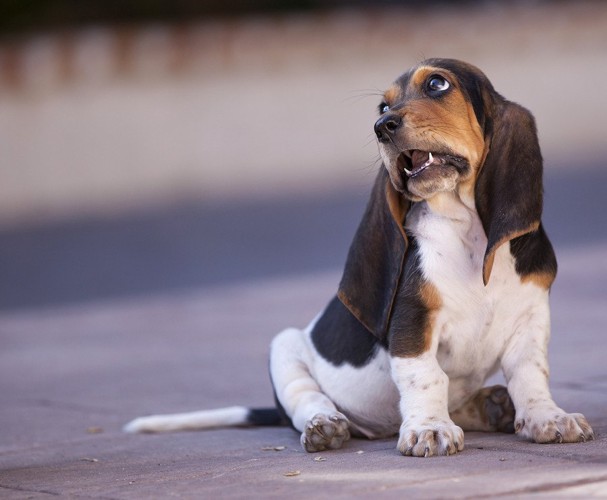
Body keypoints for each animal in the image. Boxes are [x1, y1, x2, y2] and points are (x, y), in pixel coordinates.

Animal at [123, 58, 592, 458]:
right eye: (383, 105)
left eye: (437, 84)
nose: (382, 126)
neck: (466, 231)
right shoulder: (413, 321)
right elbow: (426, 377)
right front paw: (429, 429)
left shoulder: (530, 319)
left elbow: (530, 375)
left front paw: (548, 418)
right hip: (285, 347)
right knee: (306, 400)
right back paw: (325, 425)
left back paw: (490, 406)